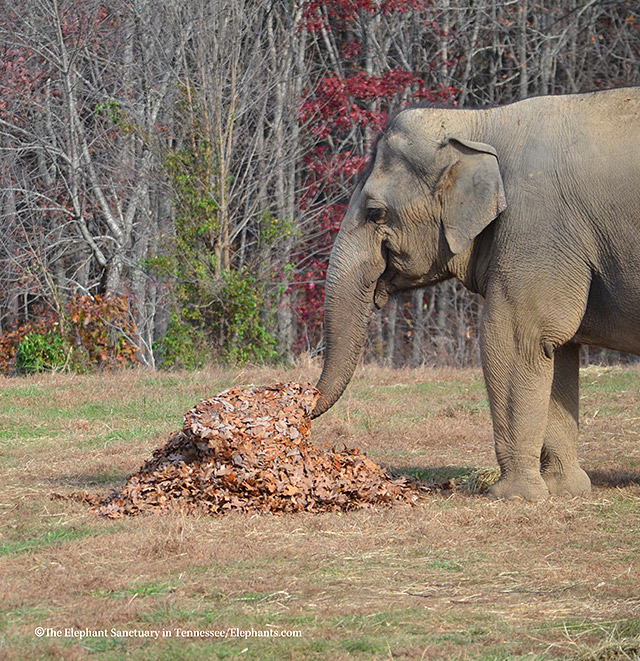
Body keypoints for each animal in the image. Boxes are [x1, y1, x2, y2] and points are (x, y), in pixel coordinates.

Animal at [312, 86, 640, 500]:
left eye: (375, 213)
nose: (301, 402)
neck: (478, 122)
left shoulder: (535, 227)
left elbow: (517, 339)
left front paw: (514, 496)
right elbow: (558, 351)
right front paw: (566, 490)